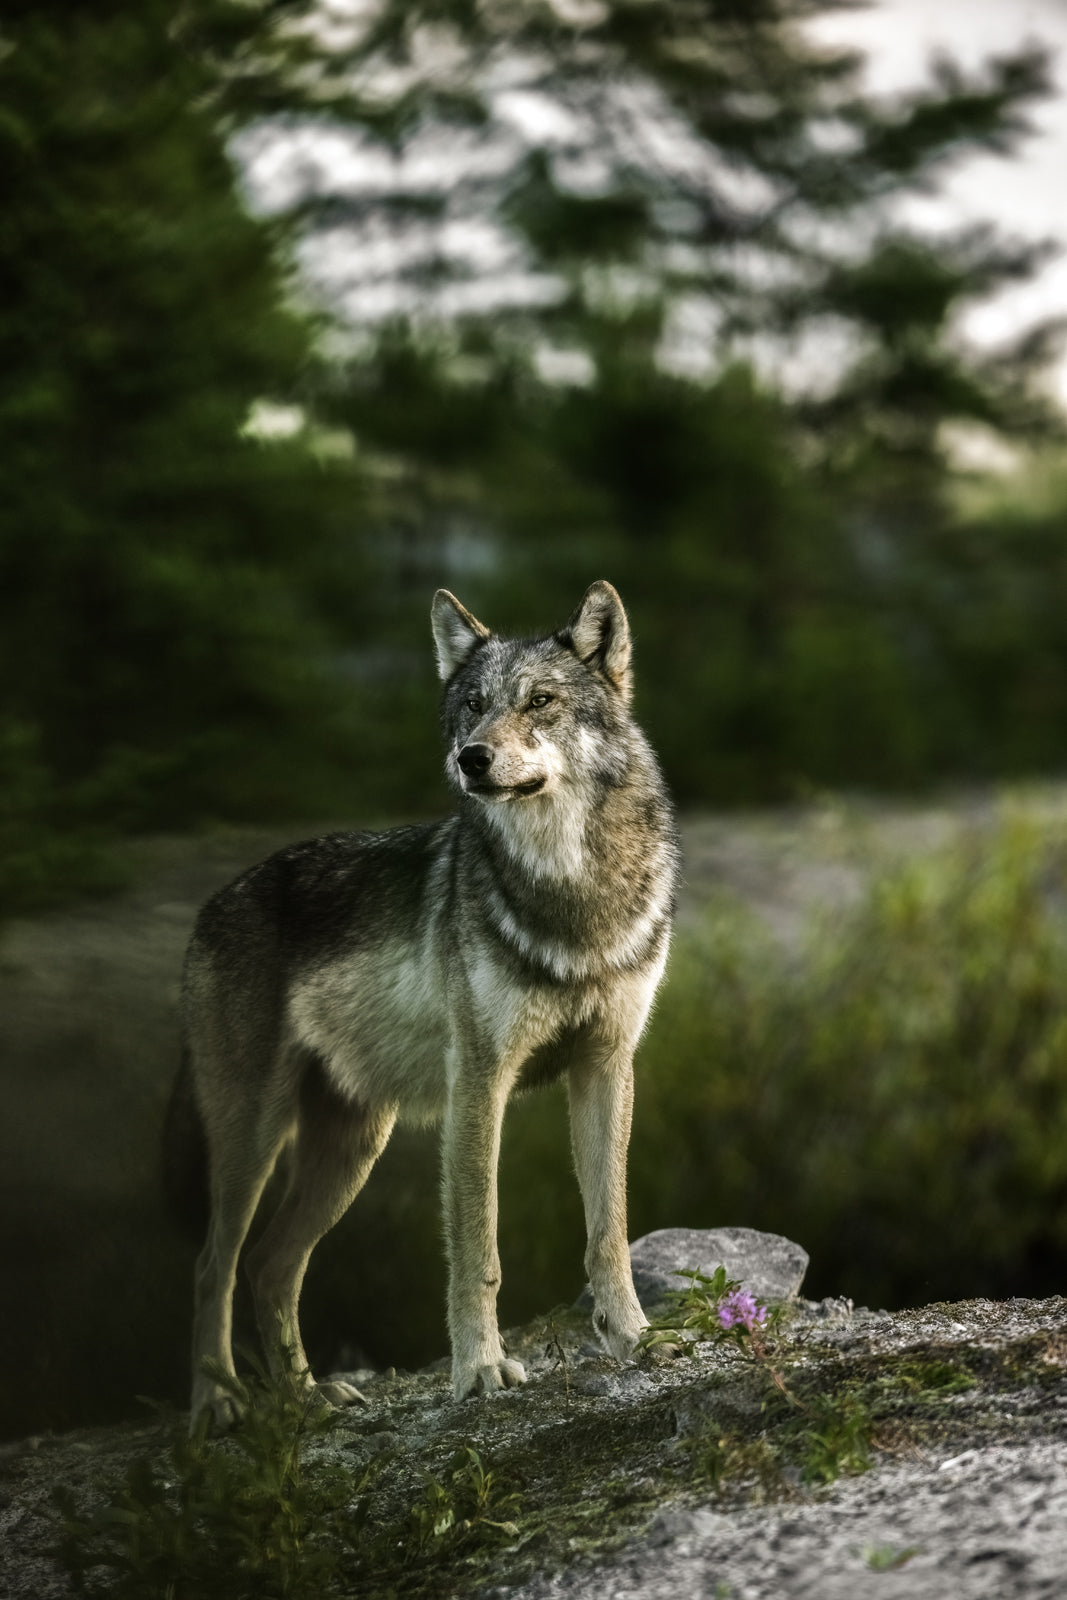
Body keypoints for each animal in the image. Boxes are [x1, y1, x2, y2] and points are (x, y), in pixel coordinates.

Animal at [174, 579, 679, 1428]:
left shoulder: (606, 1068)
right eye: (472, 705)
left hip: (353, 1145)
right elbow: (479, 1247)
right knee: (215, 1263)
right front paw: (479, 1369)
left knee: (271, 1264)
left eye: (540, 701)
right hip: (254, 1138)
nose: (471, 757)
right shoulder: (478, 1083)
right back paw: (218, 1403)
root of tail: (212, 904)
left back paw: (307, 1396)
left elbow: (607, 1229)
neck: (570, 891)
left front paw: (633, 1339)